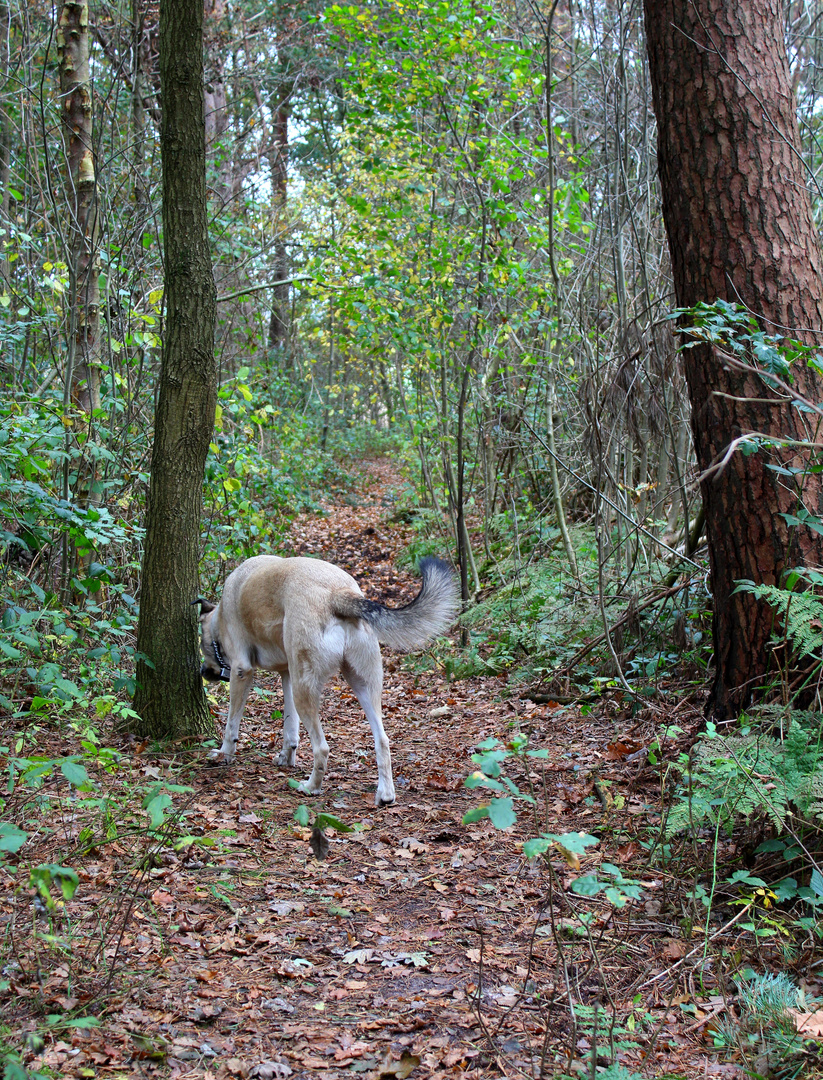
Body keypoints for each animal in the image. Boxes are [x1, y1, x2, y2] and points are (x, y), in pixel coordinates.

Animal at [194, 557, 457, 803]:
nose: (202, 673)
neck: (219, 618)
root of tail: (337, 594)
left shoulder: (242, 671)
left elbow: (232, 724)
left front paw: (224, 754)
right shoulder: (288, 675)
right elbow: (290, 728)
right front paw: (286, 757)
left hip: (306, 690)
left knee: (322, 747)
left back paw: (312, 787)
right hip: (360, 684)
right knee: (382, 740)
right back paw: (385, 794)